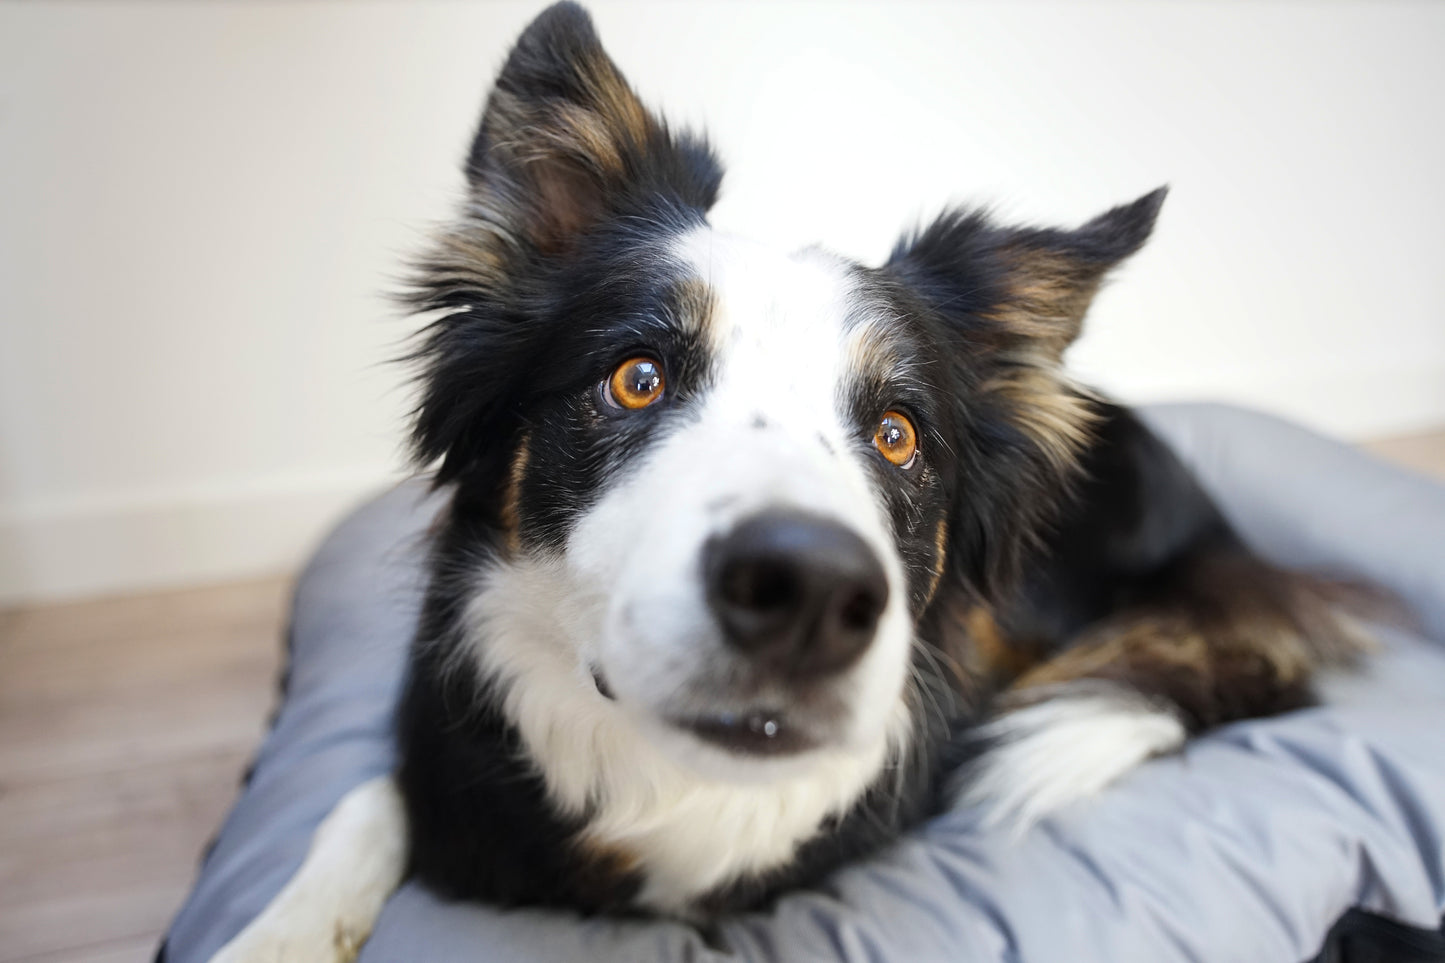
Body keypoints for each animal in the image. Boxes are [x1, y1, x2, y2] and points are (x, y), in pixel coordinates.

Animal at [206, 5, 1364, 954]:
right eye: (635, 378)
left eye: (896, 435)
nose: (808, 596)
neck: (665, 783)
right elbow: (365, 799)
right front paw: (276, 934)